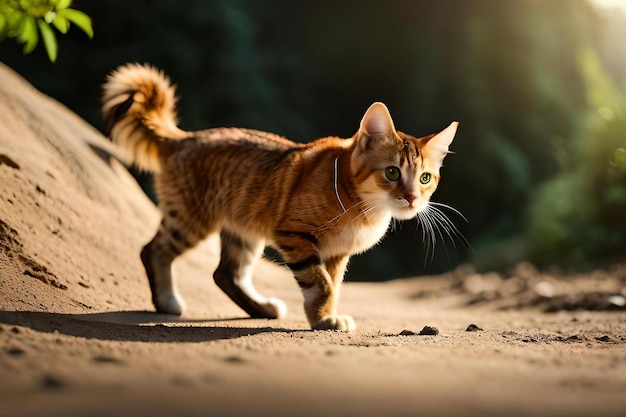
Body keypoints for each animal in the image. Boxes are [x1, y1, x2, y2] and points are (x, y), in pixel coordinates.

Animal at [101, 63, 454, 330]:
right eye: (392, 172)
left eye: (425, 178)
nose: (412, 198)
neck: (361, 207)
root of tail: (183, 137)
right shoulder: (295, 235)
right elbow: (320, 283)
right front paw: (323, 319)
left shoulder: (337, 254)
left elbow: (333, 285)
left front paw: (324, 316)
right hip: (190, 219)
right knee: (153, 250)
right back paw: (166, 301)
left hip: (243, 230)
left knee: (225, 274)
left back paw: (259, 308)